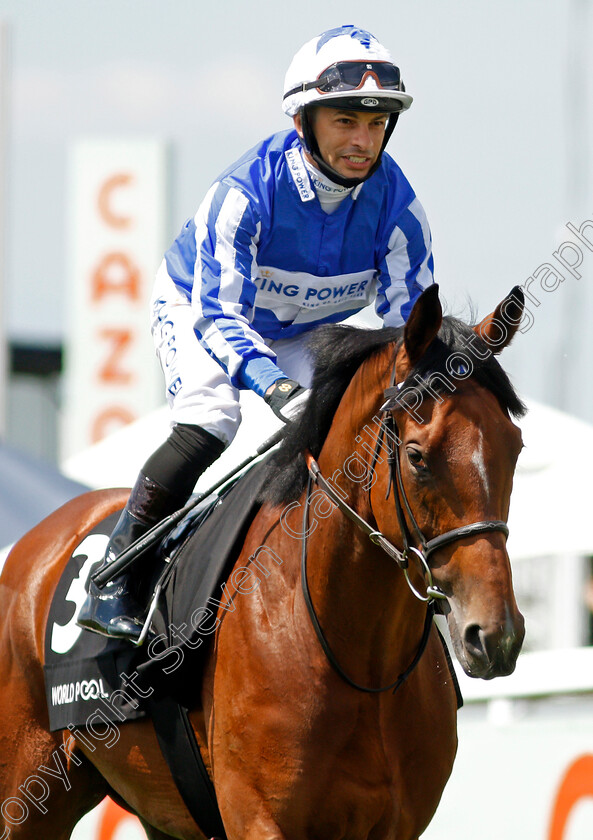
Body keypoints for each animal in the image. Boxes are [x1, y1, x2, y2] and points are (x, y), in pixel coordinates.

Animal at [1, 286, 528, 836]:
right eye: (417, 456)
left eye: (514, 447)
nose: (495, 635)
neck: (358, 660)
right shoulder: (257, 816)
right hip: (28, 791)